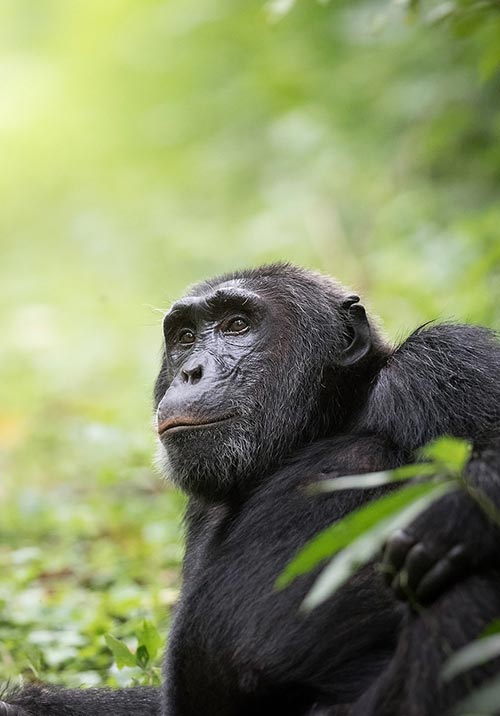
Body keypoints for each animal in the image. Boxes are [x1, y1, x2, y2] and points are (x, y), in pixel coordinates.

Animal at [2, 264, 500, 716]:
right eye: (185, 336)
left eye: (236, 325)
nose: (191, 371)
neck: (331, 418)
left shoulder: (450, 365)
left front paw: (456, 516)